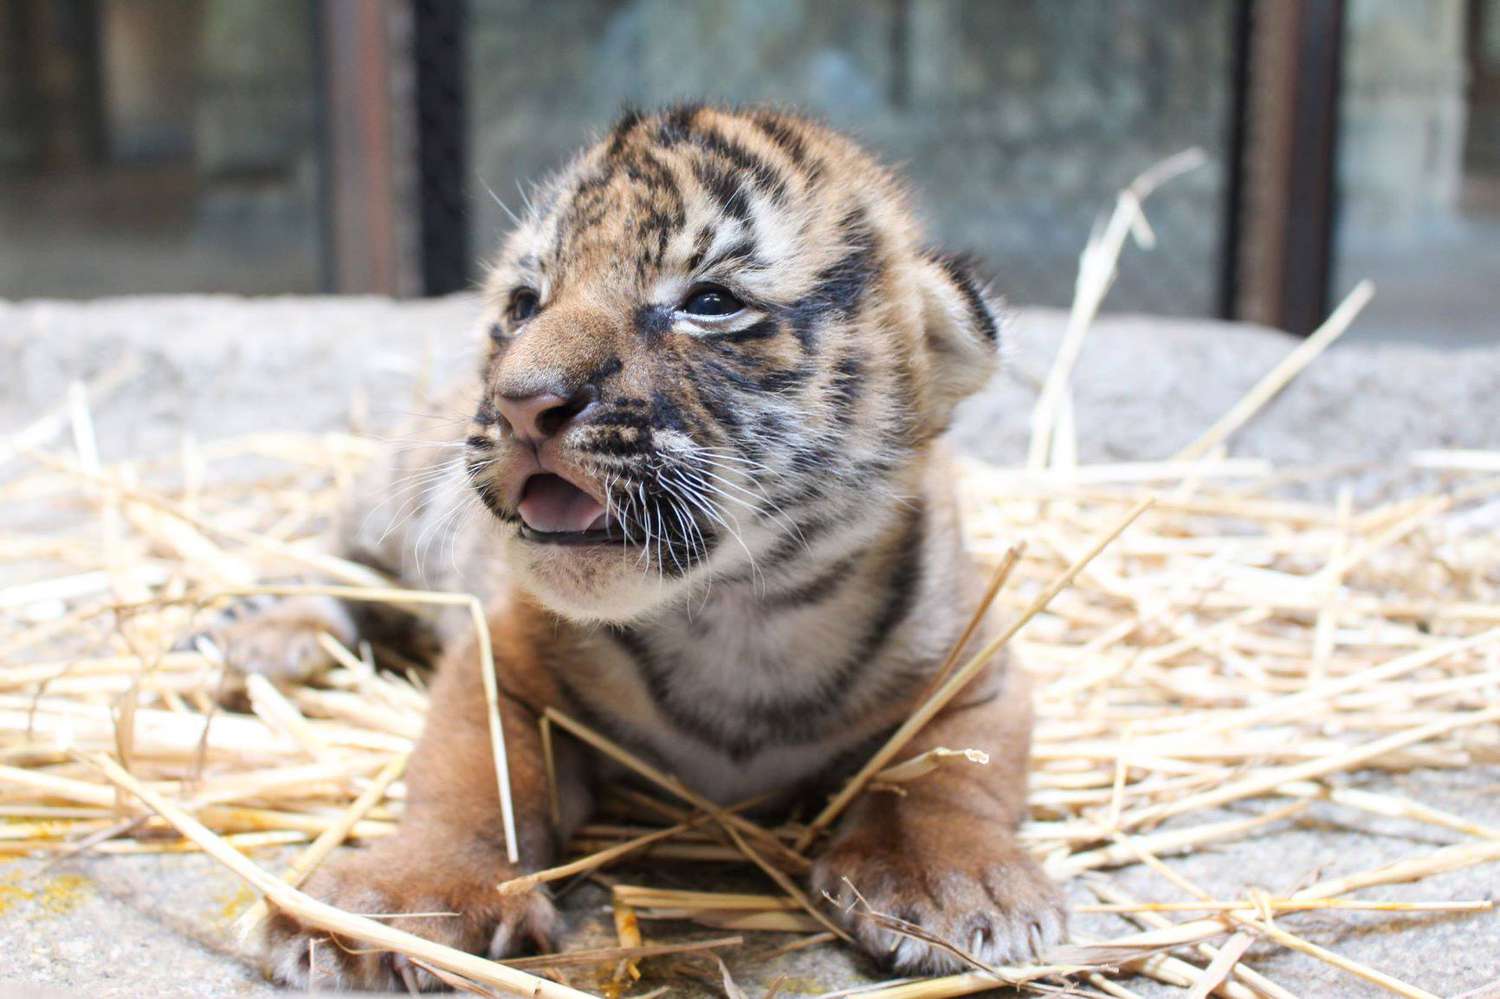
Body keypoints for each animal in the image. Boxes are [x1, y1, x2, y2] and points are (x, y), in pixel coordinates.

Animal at [215, 104, 1066, 989]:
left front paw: (957, 881)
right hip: (393, 494)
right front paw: (399, 896)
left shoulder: (978, 663)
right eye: (525, 303)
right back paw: (263, 635)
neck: (744, 616)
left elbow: (947, 770)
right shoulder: (501, 656)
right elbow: (474, 776)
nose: (521, 402)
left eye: (710, 301)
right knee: (340, 561)